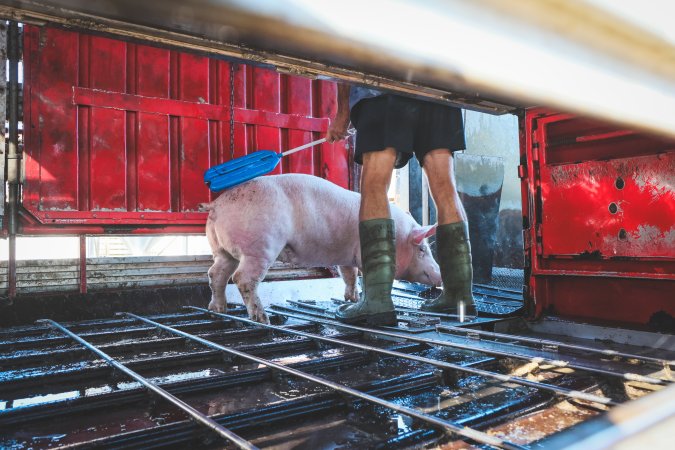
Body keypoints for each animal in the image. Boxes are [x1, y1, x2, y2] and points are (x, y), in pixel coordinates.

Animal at [203, 173, 440, 324]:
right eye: (422, 250)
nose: (439, 275)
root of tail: (217, 205)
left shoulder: (347, 254)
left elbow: (349, 274)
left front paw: (351, 300)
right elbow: (363, 275)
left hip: (222, 249)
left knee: (216, 273)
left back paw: (217, 309)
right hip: (260, 247)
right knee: (242, 278)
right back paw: (262, 318)